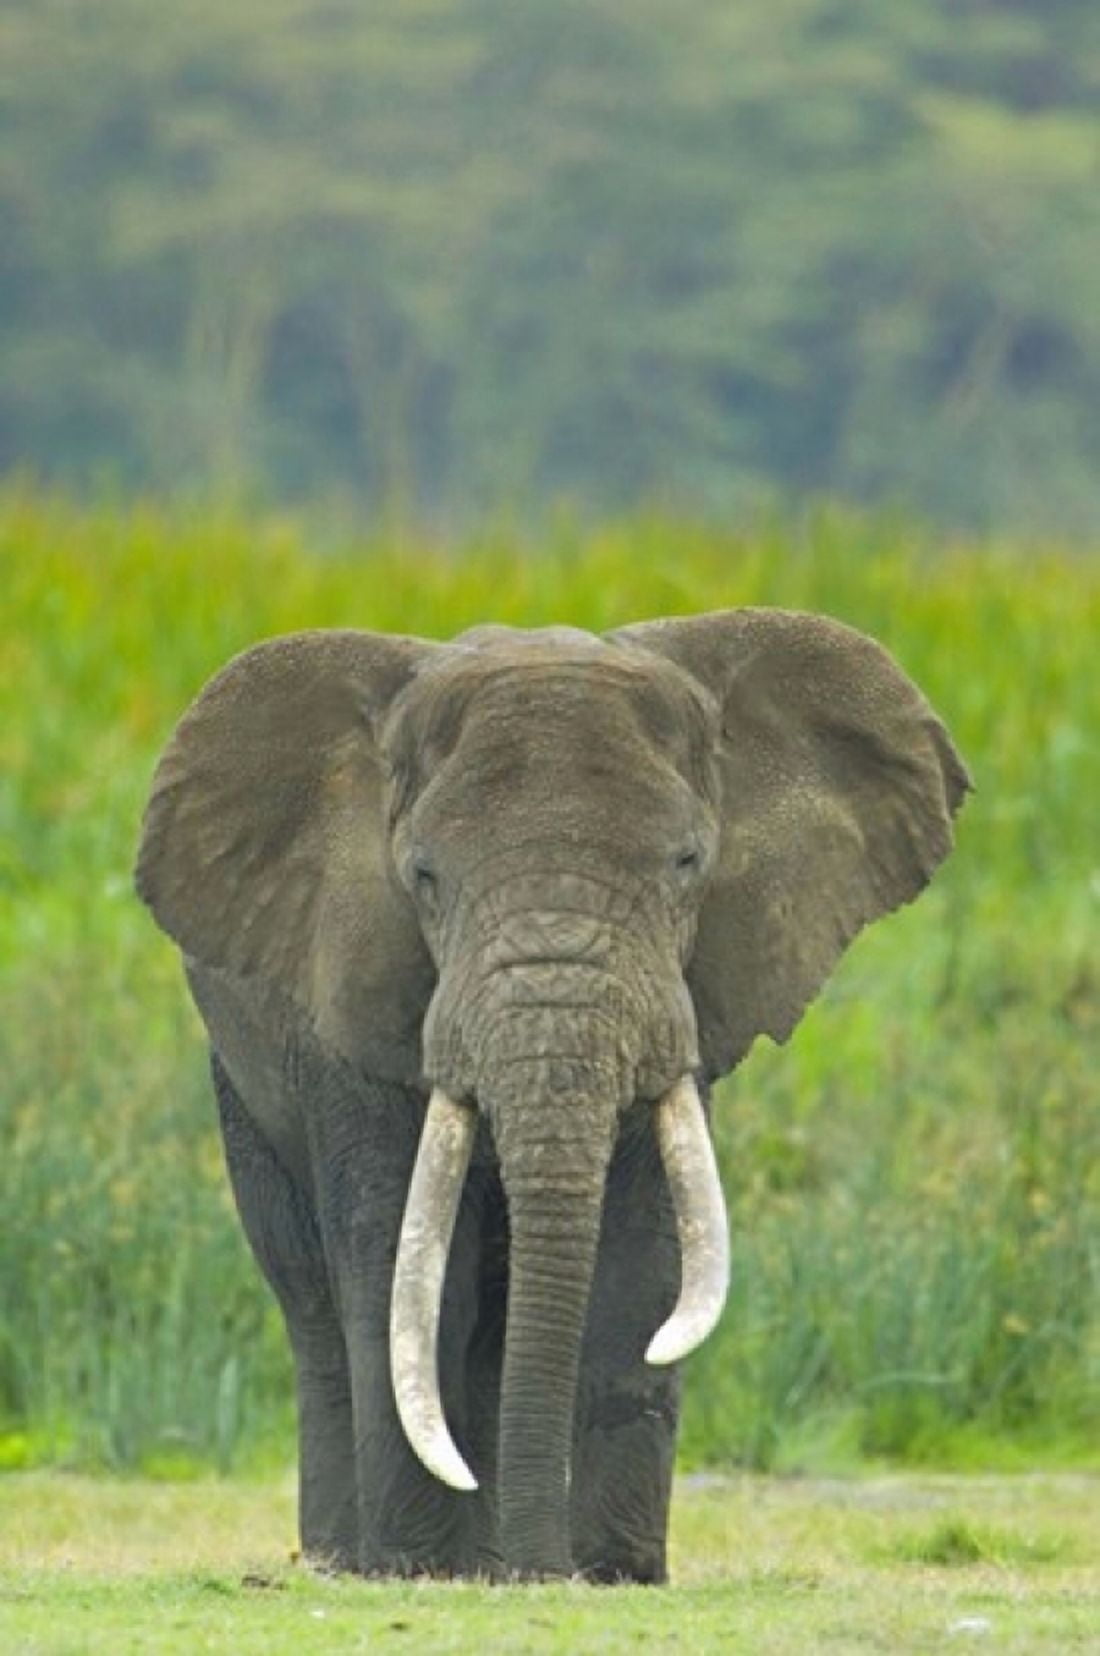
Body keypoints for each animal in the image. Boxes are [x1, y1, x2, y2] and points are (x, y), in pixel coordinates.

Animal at [135, 609, 968, 1582]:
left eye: (688, 863)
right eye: (424, 878)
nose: (547, 1572)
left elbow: (643, 1270)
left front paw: (613, 1574)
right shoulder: (352, 1005)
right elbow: (407, 1277)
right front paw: (420, 1569)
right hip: (240, 1081)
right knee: (314, 1299)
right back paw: (361, 1561)